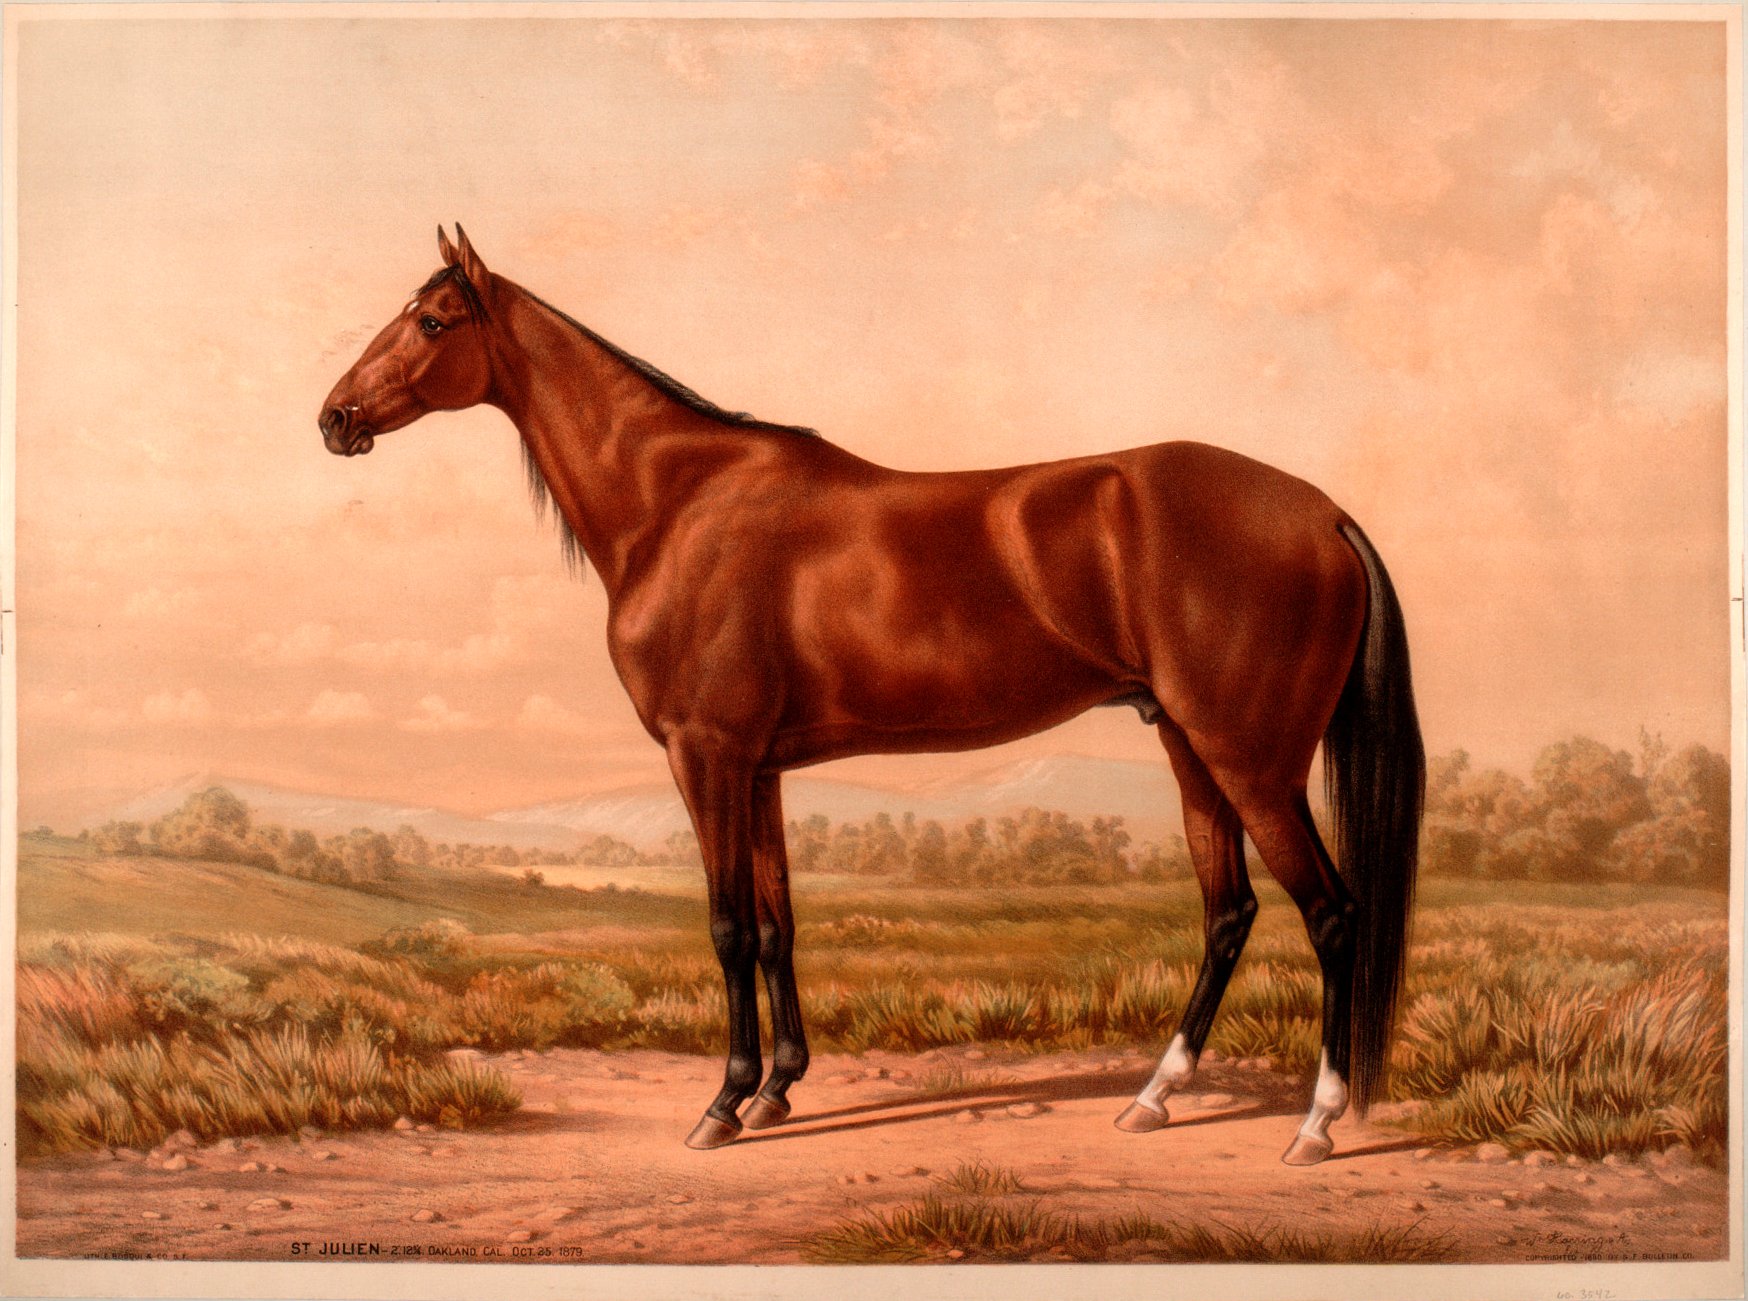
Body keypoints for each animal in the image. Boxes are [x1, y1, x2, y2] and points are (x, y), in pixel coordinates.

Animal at [319, 226, 1424, 1165]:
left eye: (431, 320)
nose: (334, 417)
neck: (677, 503)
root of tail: (1322, 514)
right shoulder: (757, 767)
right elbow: (776, 923)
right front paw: (776, 1087)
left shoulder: (704, 753)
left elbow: (726, 927)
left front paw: (723, 1103)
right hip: (1191, 747)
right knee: (1228, 911)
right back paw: (1154, 1095)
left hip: (1250, 760)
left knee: (1330, 914)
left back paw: (1316, 1123)